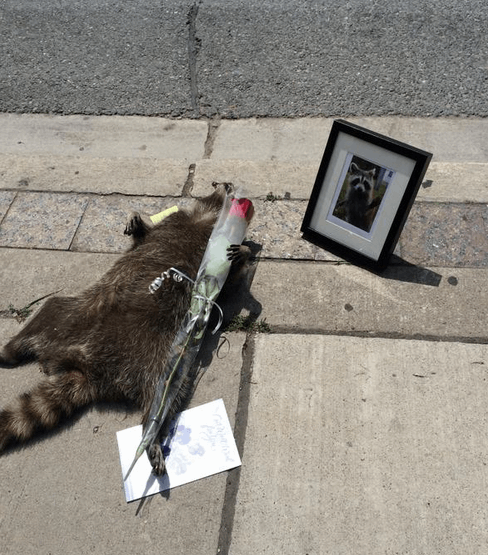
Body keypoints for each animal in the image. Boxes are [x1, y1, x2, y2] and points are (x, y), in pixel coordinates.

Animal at [0, 185, 250, 476]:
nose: (228, 185)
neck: (207, 215)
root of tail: (90, 369)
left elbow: (230, 282)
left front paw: (244, 252)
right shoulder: (172, 222)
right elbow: (142, 237)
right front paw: (136, 219)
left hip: (160, 357)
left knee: (165, 393)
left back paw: (151, 433)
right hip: (78, 314)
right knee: (51, 307)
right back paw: (11, 349)